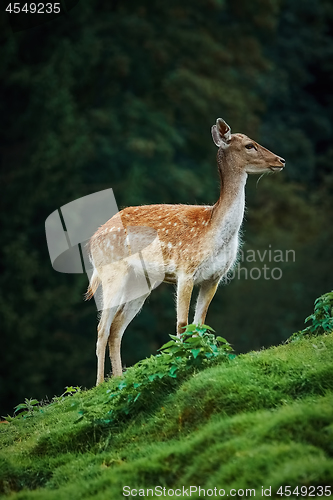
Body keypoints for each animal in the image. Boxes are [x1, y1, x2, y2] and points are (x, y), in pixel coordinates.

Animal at [85, 118, 282, 382]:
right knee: (102, 328)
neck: (213, 229)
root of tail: (92, 242)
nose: (280, 160)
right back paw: (100, 385)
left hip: (141, 283)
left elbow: (199, 324)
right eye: (250, 145)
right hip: (112, 274)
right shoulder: (185, 270)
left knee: (116, 327)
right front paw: (180, 364)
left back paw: (119, 379)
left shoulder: (214, 277)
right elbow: (181, 324)